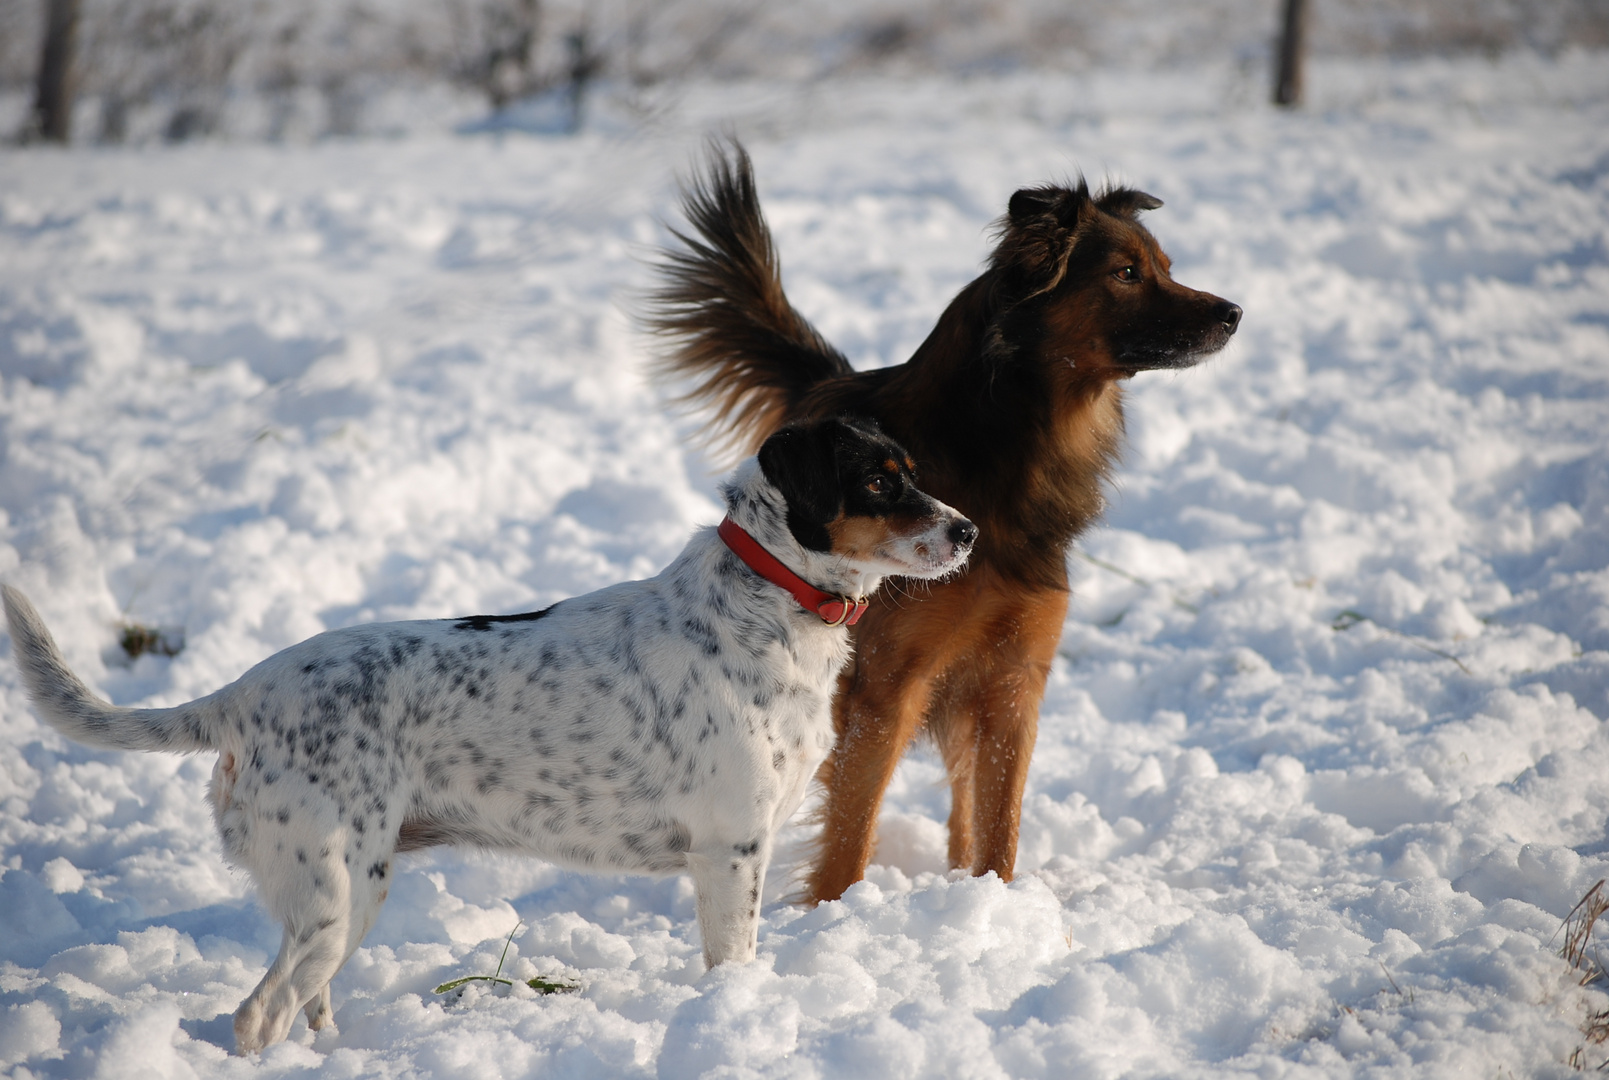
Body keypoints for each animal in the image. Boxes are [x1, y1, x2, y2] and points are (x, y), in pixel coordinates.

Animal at [646, 143, 1235, 901]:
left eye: (1163, 264)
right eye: (1126, 273)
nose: (1234, 313)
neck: (997, 445)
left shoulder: (1015, 678)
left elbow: (998, 821)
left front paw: (995, 903)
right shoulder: (886, 688)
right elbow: (850, 833)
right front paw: (834, 914)